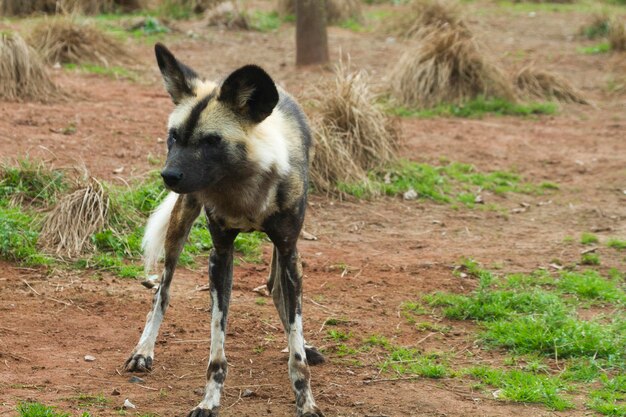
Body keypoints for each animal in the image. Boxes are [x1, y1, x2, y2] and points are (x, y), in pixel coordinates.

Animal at [124, 43, 324, 416]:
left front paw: (305, 400)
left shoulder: (289, 250)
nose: (168, 176)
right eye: (174, 137)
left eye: (211, 141)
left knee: (276, 288)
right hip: (180, 226)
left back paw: (302, 342)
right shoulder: (220, 256)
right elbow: (216, 351)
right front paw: (209, 400)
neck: (243, 191)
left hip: (286, 255)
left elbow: (296, 346)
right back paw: (143, 351)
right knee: (162, 291)